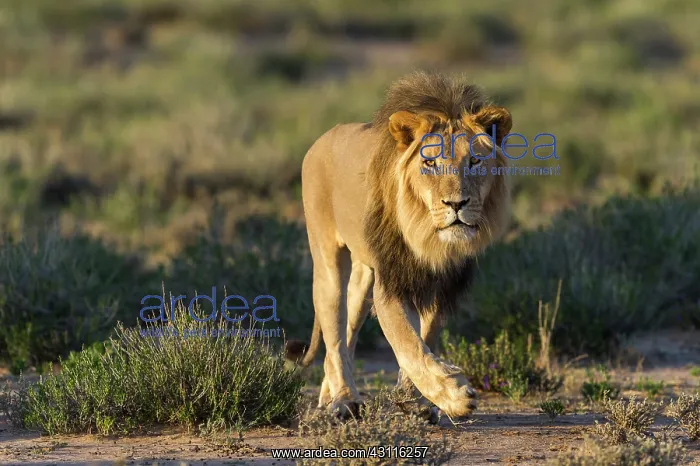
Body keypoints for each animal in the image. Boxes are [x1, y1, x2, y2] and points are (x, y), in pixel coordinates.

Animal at [290, 71, 512, 419]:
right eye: (430, 164)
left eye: (475, 161)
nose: (456, 204)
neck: (430, 239)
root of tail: (322, 138)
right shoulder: (392, 282)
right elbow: (407, 343)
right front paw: (455, 396)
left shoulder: (442, 285)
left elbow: (426, 339)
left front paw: (416, 401)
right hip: (327, 261)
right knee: (334, 334)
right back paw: (344, 400)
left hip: (364, 275)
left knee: (347, 332)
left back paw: (330, 393)